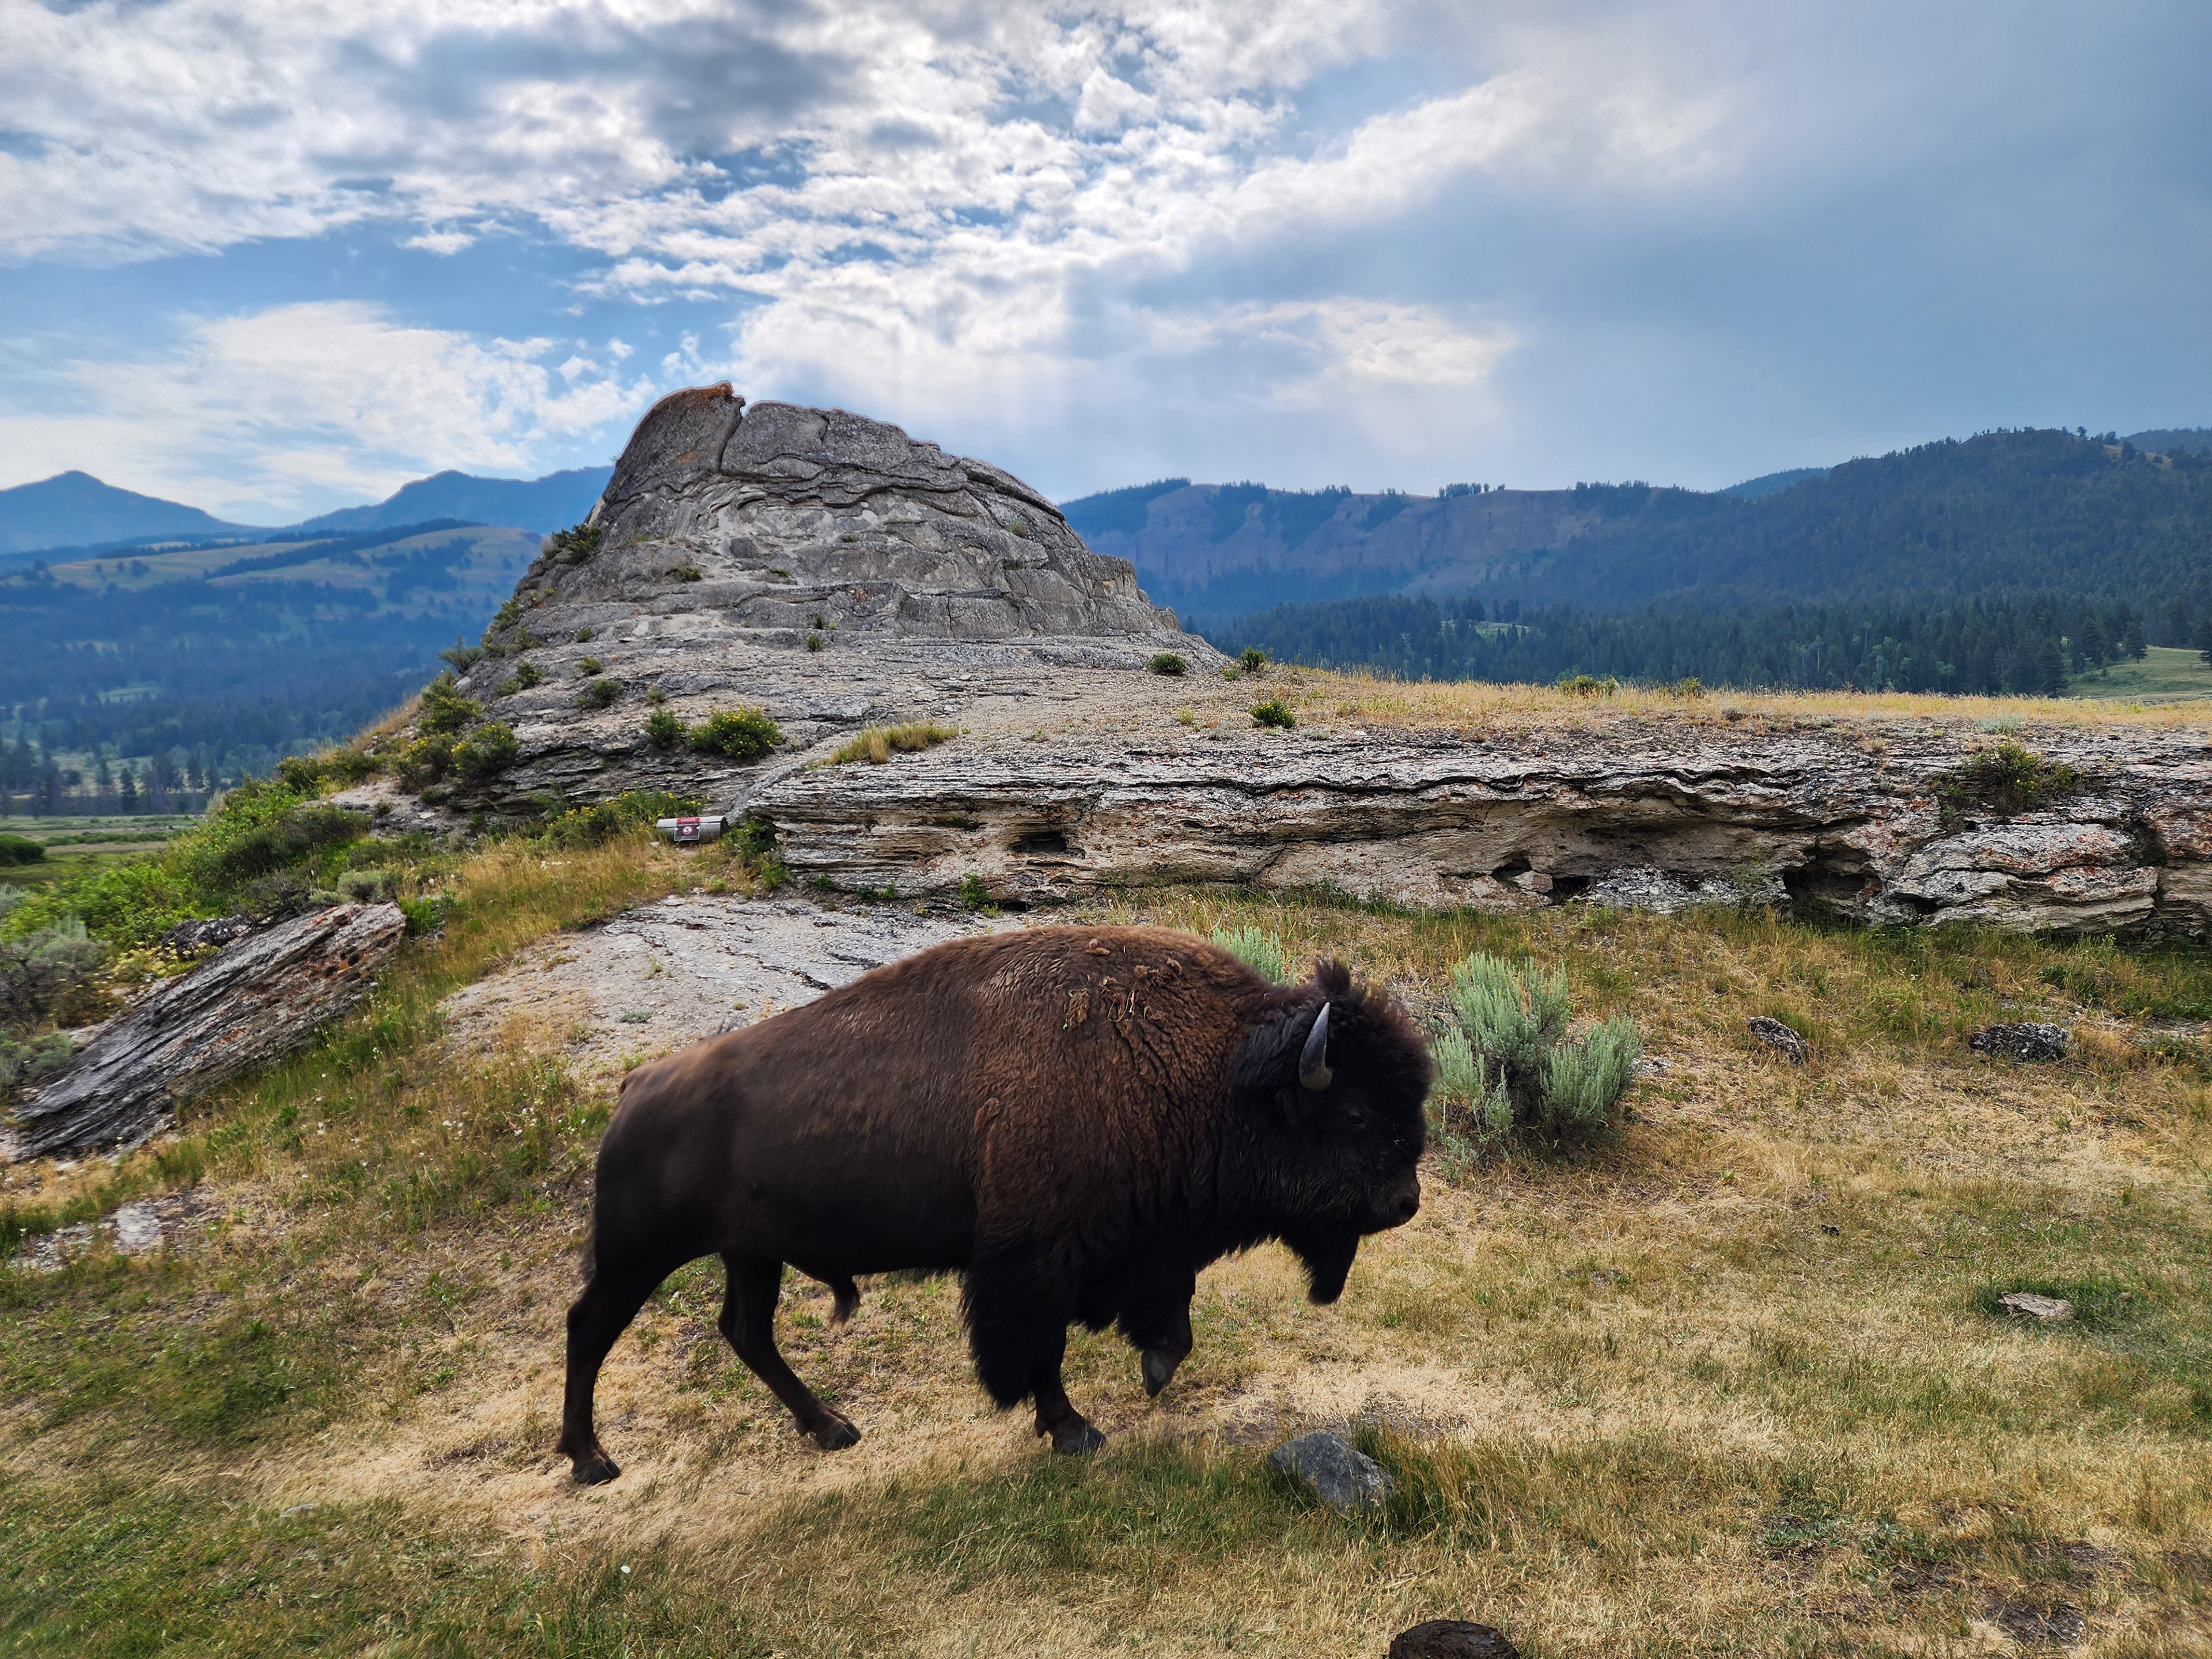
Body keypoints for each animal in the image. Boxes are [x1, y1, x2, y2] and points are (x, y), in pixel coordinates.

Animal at [557, 924, 1431, 1483]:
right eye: (1357, 1114)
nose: (1405, 1202)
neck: (1212, 1072)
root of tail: (636, 1088)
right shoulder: (1032, 1263)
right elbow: (1040, 1350)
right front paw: (1074, 1431)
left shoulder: (1149, 1243)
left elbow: (1170, 1317)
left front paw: (1151, 1372)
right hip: (638, 1256)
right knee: (589, 1328)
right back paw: (591, 1461)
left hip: (751, 1253)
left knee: (747, 1331)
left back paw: (833, 1429)